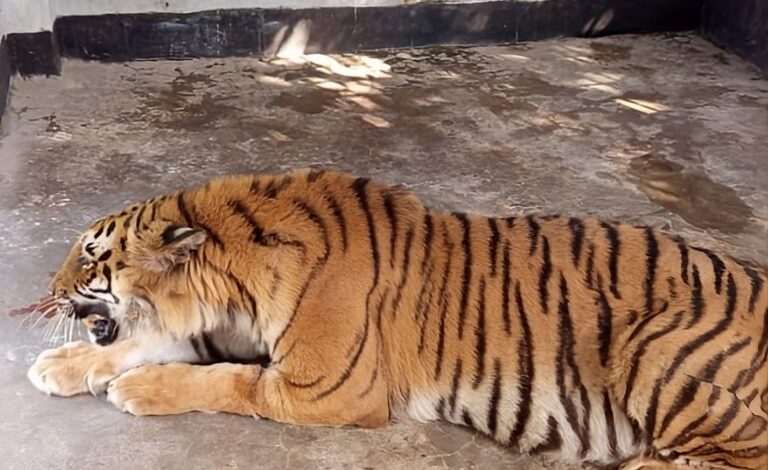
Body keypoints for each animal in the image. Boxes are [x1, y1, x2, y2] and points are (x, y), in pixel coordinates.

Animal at [26, 169, 767, 470]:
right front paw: (65, 364)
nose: (47, 288)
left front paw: (132, 388)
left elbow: (226, 380)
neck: (234, 279)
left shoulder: (325, 388)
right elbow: (154, 339)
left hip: (651, 347)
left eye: (89, 255)